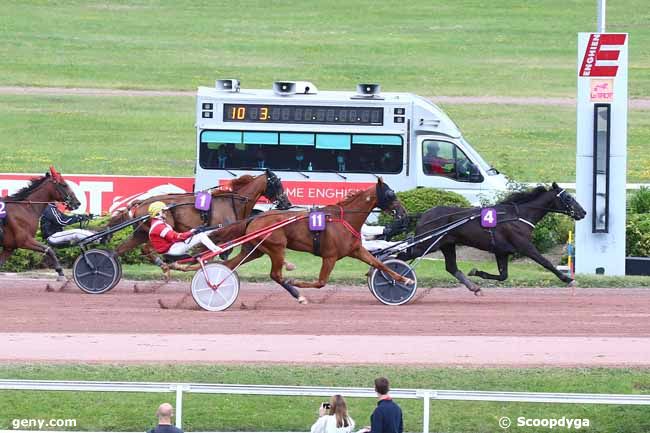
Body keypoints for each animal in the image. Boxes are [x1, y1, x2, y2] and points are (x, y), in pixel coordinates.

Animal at [107, 169, 290, 270]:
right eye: (277, 183)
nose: (287, 203)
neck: (233, 201)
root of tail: (142, 202)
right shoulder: (219, 232)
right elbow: (214, 253)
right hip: (157, 230)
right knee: (147, 248)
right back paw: (163, 263)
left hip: (140, 233)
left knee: (120, 249)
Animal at [216, 179, 410, 304]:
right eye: (390, 194)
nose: (404, 213)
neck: (344, 218)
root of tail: (254, 218)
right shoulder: (330, 256)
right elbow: (321, 282)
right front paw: (294, 282)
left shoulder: (357, 250)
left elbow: (380, 264)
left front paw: (404, 280)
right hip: (277, 247)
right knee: (275, 274)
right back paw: (296, 292)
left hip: (256, 250)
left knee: (229, 265)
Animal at [400, 182, 588, 294]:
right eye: (569, 197)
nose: (583, 212)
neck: (518, 215)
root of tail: (423, 214)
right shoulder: (525, 246)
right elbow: (546, 262)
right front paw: (568, 279)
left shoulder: (502, 251)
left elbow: (503, 276)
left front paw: (476, 272)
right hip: (426, 244)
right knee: (401, 255)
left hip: (447, 245)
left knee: (451, 267)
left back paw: (473, 287)